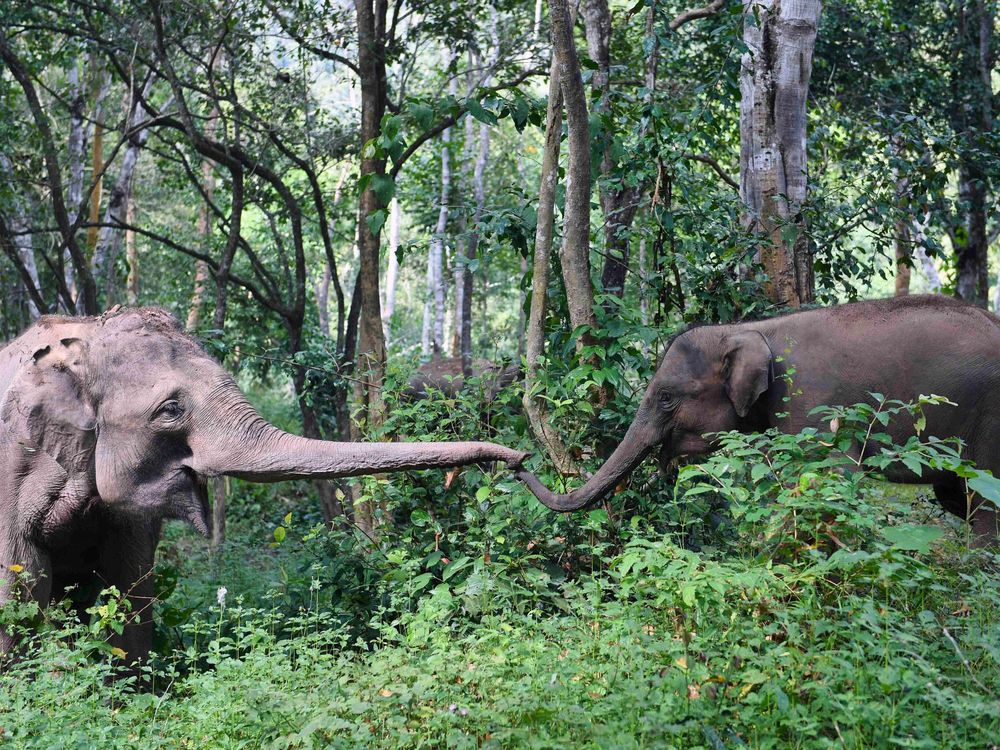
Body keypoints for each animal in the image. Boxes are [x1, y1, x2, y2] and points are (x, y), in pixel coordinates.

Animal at [520, 296, 1000, 544]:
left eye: (666, 398)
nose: (519, 461)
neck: (747, 328)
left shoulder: (814, 401)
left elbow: (827, 479)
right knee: (957, 497)